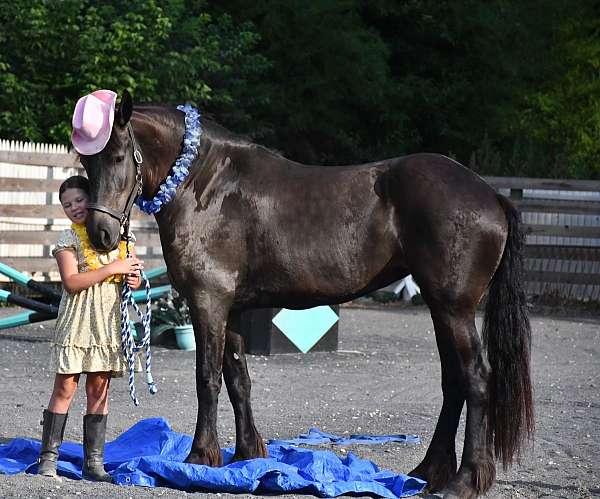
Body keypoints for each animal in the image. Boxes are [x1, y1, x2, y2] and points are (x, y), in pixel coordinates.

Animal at [81, 91, 536, 499]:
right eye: (87, 162)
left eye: (118, 157)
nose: (101, 234)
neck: (206, 183)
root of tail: (490, 195)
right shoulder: (231, 308)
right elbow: (238, 380)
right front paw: (246, 457)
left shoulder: (208, 302)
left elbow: (207, 378)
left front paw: (198, 457)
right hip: (441, 308)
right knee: (453, 382)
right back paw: (428, 474)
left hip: (455, 308)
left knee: (476, 378)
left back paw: (465, 481)